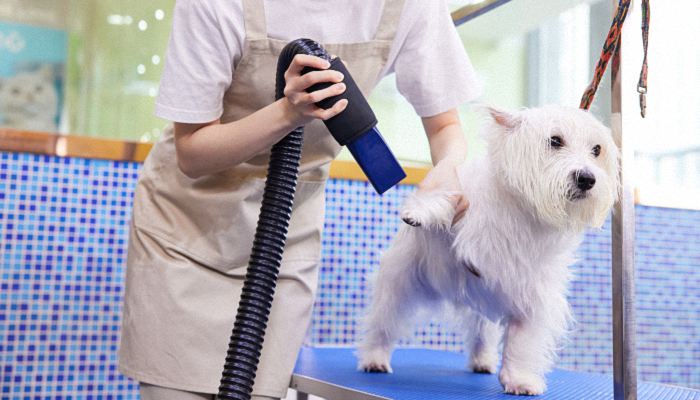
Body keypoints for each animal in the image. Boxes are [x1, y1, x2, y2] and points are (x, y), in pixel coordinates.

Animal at [358, 104, 620, 396]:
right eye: (555, 141)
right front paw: (421, 211)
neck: (521, 211)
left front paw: (519, 380)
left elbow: (522, 341)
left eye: (597, 150)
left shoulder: (532, 294)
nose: (587, 178)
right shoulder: (462, 199)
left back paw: (482, 360)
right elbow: (445, 198)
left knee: (482, 331)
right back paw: (374, 358)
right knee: (384, 321)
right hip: (401, 282)